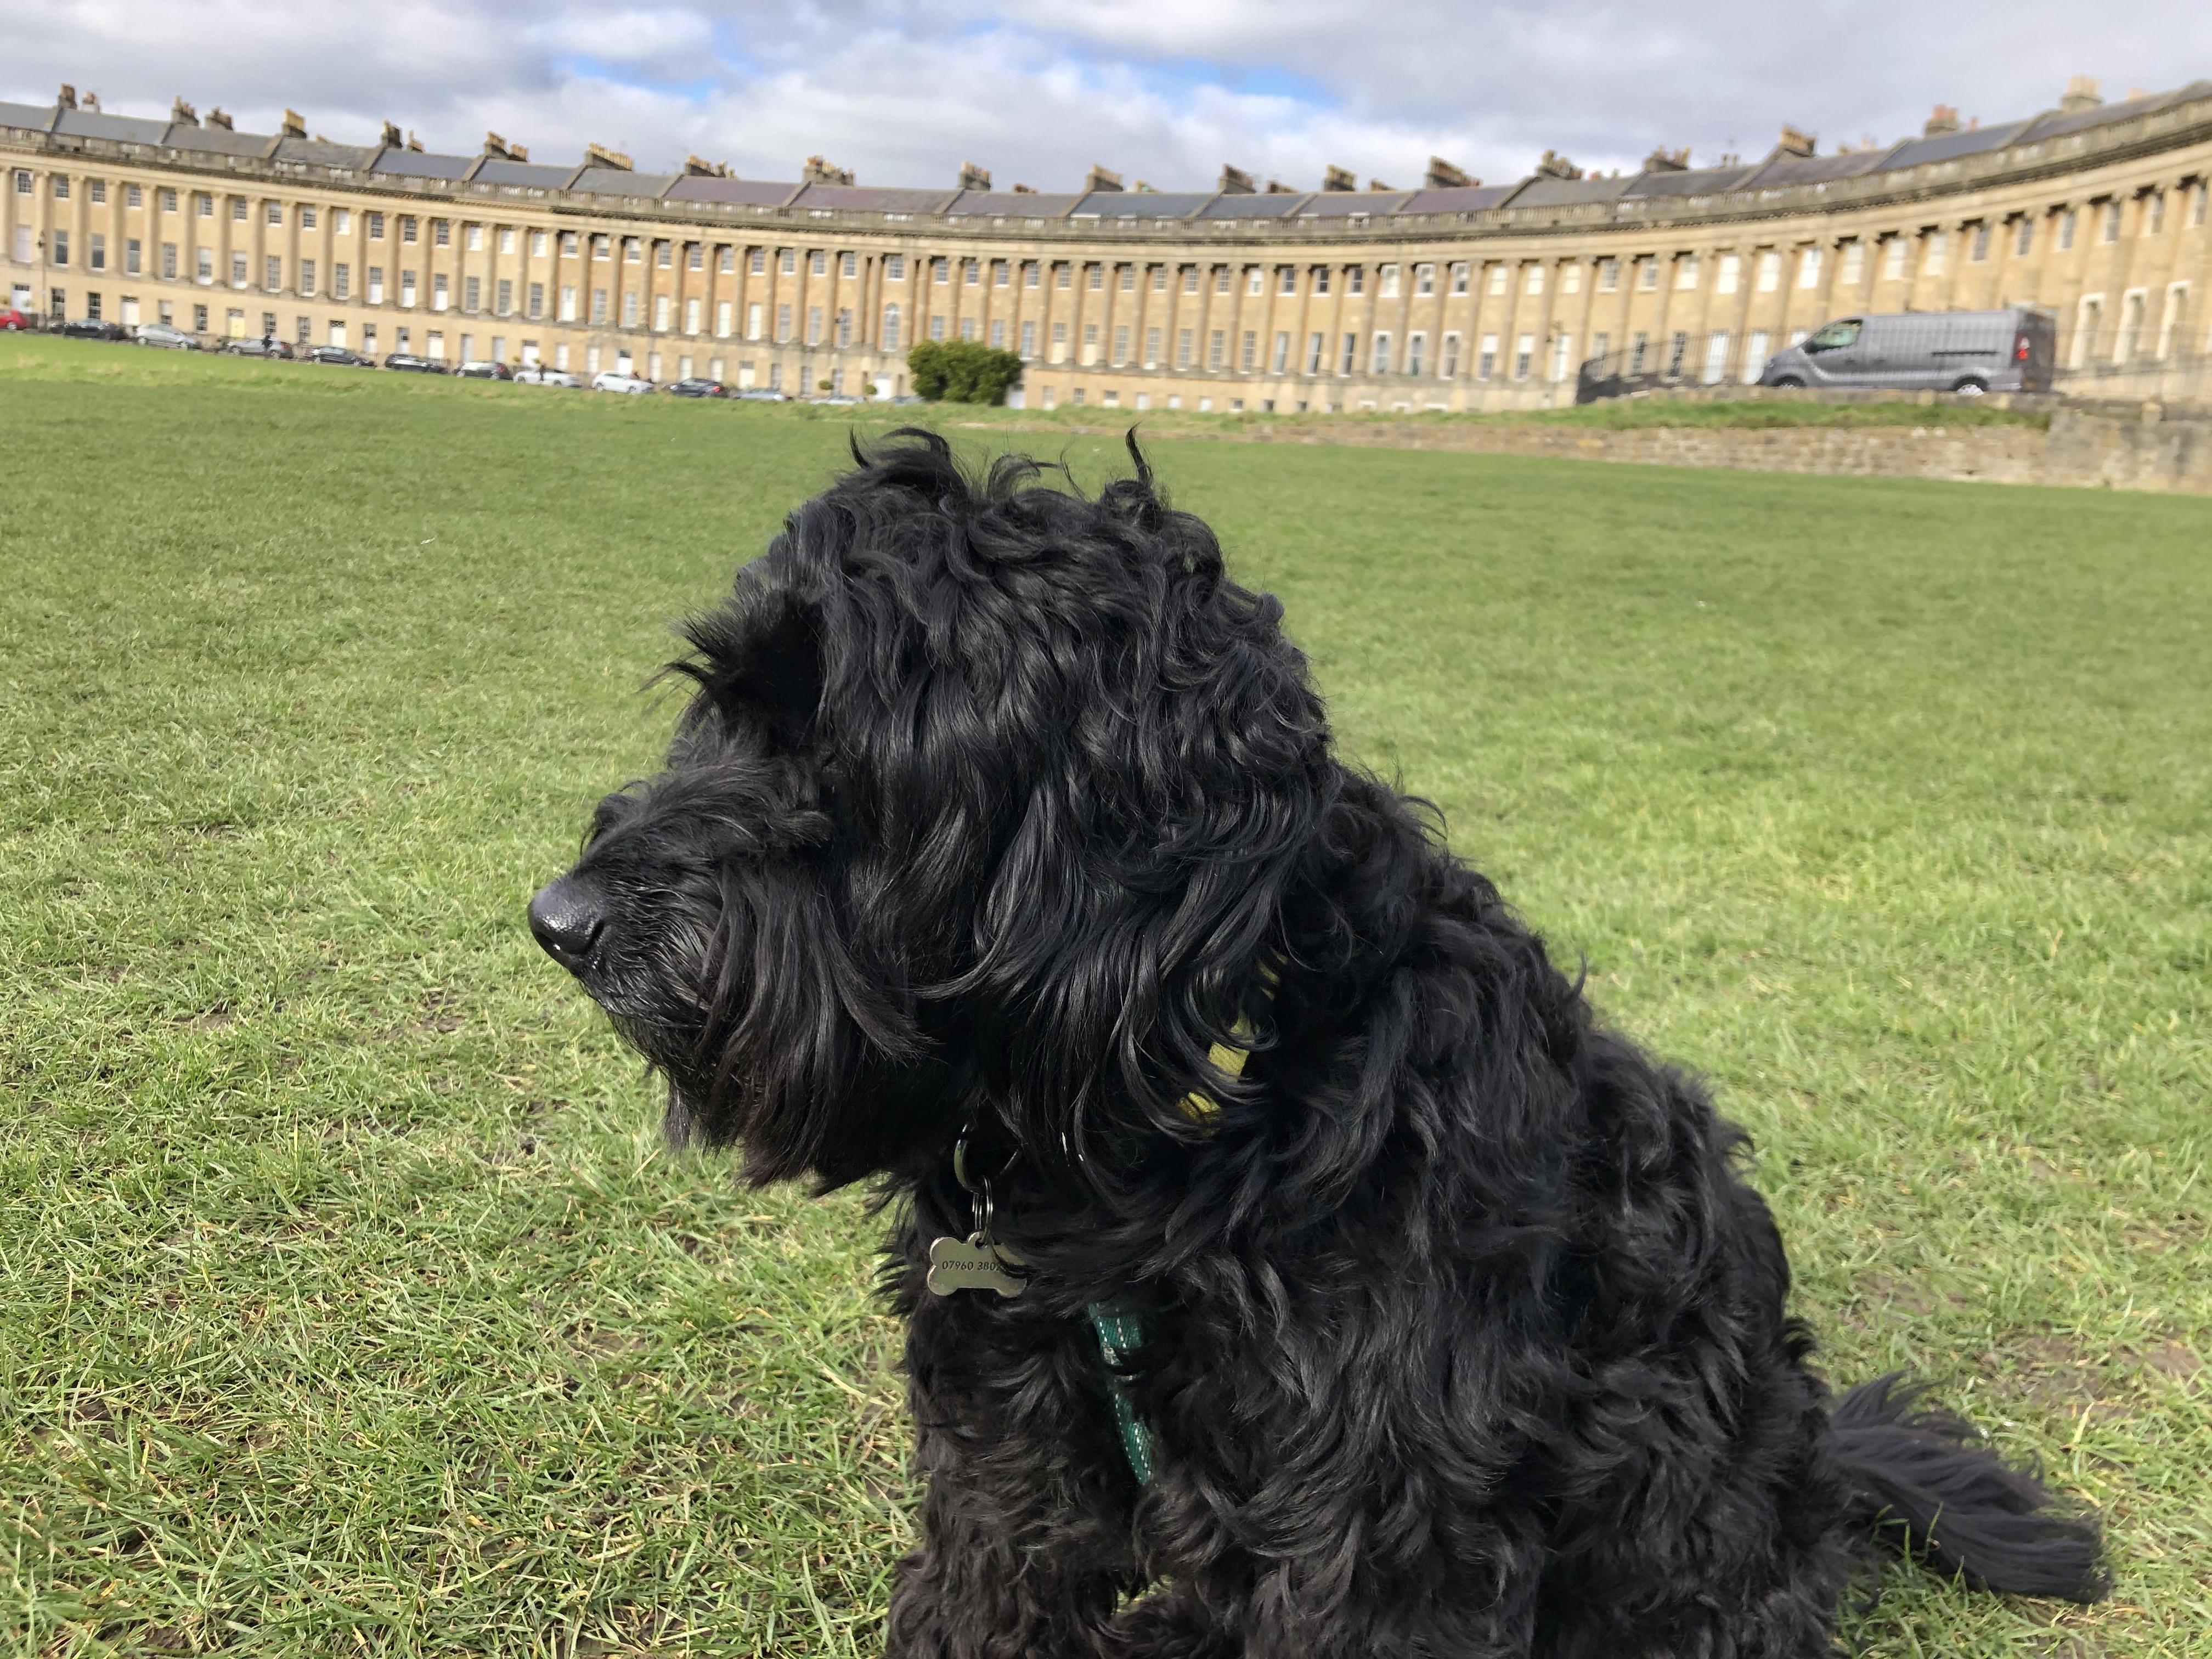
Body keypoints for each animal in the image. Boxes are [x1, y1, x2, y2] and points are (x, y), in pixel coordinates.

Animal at [531, 438, 2106, 1659]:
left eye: (844, 758)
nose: (560, 921)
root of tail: (1824, 1484)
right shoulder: (1006, 1443)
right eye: (720, 705)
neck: (1171, 1121)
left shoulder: (1385, 1526)